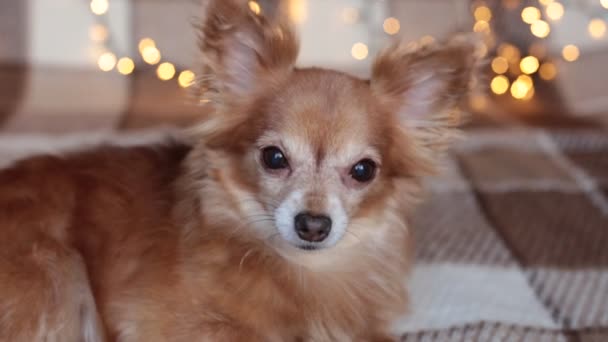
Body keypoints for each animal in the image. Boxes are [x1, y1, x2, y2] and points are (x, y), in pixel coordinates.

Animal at [0, 1, 480, 340]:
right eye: (274, 158)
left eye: (363, 170)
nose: (312, 224)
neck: (300, 271)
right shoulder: (171, 325)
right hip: (55, 276)